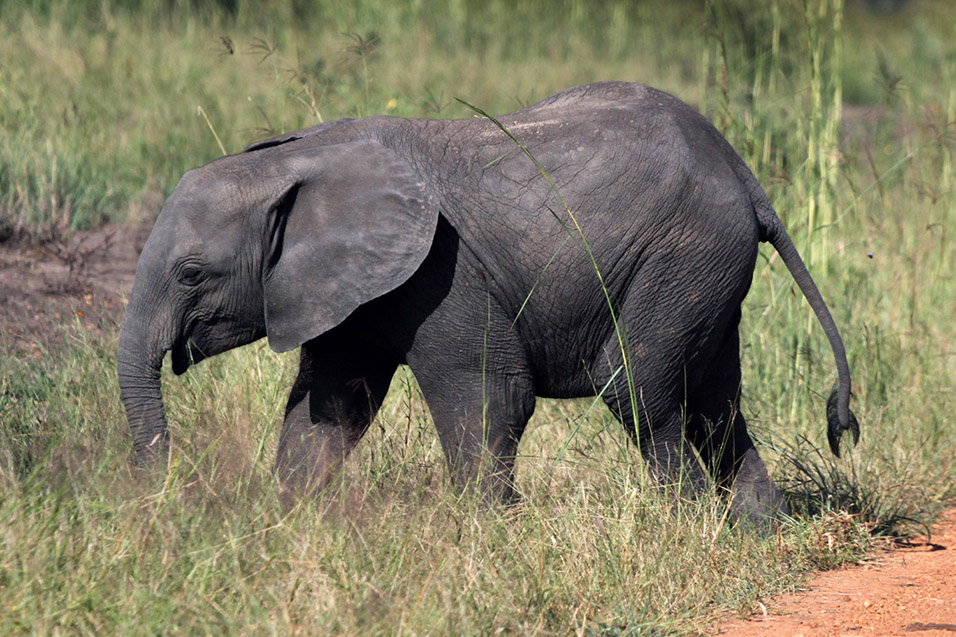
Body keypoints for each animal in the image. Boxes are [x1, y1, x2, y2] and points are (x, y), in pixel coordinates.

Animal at [119, 80, 860, 528]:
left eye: (191, 274)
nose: (164, 509)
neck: (300, 157)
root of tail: (745, 175)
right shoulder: (345, 290)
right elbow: (328, 406)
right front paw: (288, 524)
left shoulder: (441, 274)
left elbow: (490, 397)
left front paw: (487, 539)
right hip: (707, 267)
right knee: (714, 397)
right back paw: (757, 529)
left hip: (681, 252)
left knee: (638, 389)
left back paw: (688, 527)